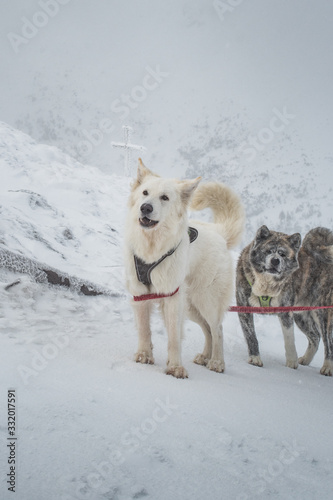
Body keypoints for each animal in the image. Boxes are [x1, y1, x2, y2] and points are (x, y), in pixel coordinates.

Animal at [124, 160, 244, 378]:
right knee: (207, 329)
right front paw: (144, 355)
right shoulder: (140, 294)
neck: (152, 248)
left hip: (206, 301)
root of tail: (218, 232)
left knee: (217, 329)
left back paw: (216, 362)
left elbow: (174, 337)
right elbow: (144, 329)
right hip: (190, 306)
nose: (145, 208)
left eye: (164, 197)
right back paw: (205, 357)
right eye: (145, 192)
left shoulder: (171, 296)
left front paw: (175, 367)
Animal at [235, 226, 332, 376]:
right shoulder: (244, 307)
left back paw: (327, 367)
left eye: (283, 254)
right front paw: (255, 358)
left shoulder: (286, 312)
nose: (275, 260)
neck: (266, 283)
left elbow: (289, 338)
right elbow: (251, 336)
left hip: (323, 314)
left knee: (328, 343)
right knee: (315, 336)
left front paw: (291, 362)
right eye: (268, 251)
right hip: (301, 316)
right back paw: (305, 359)